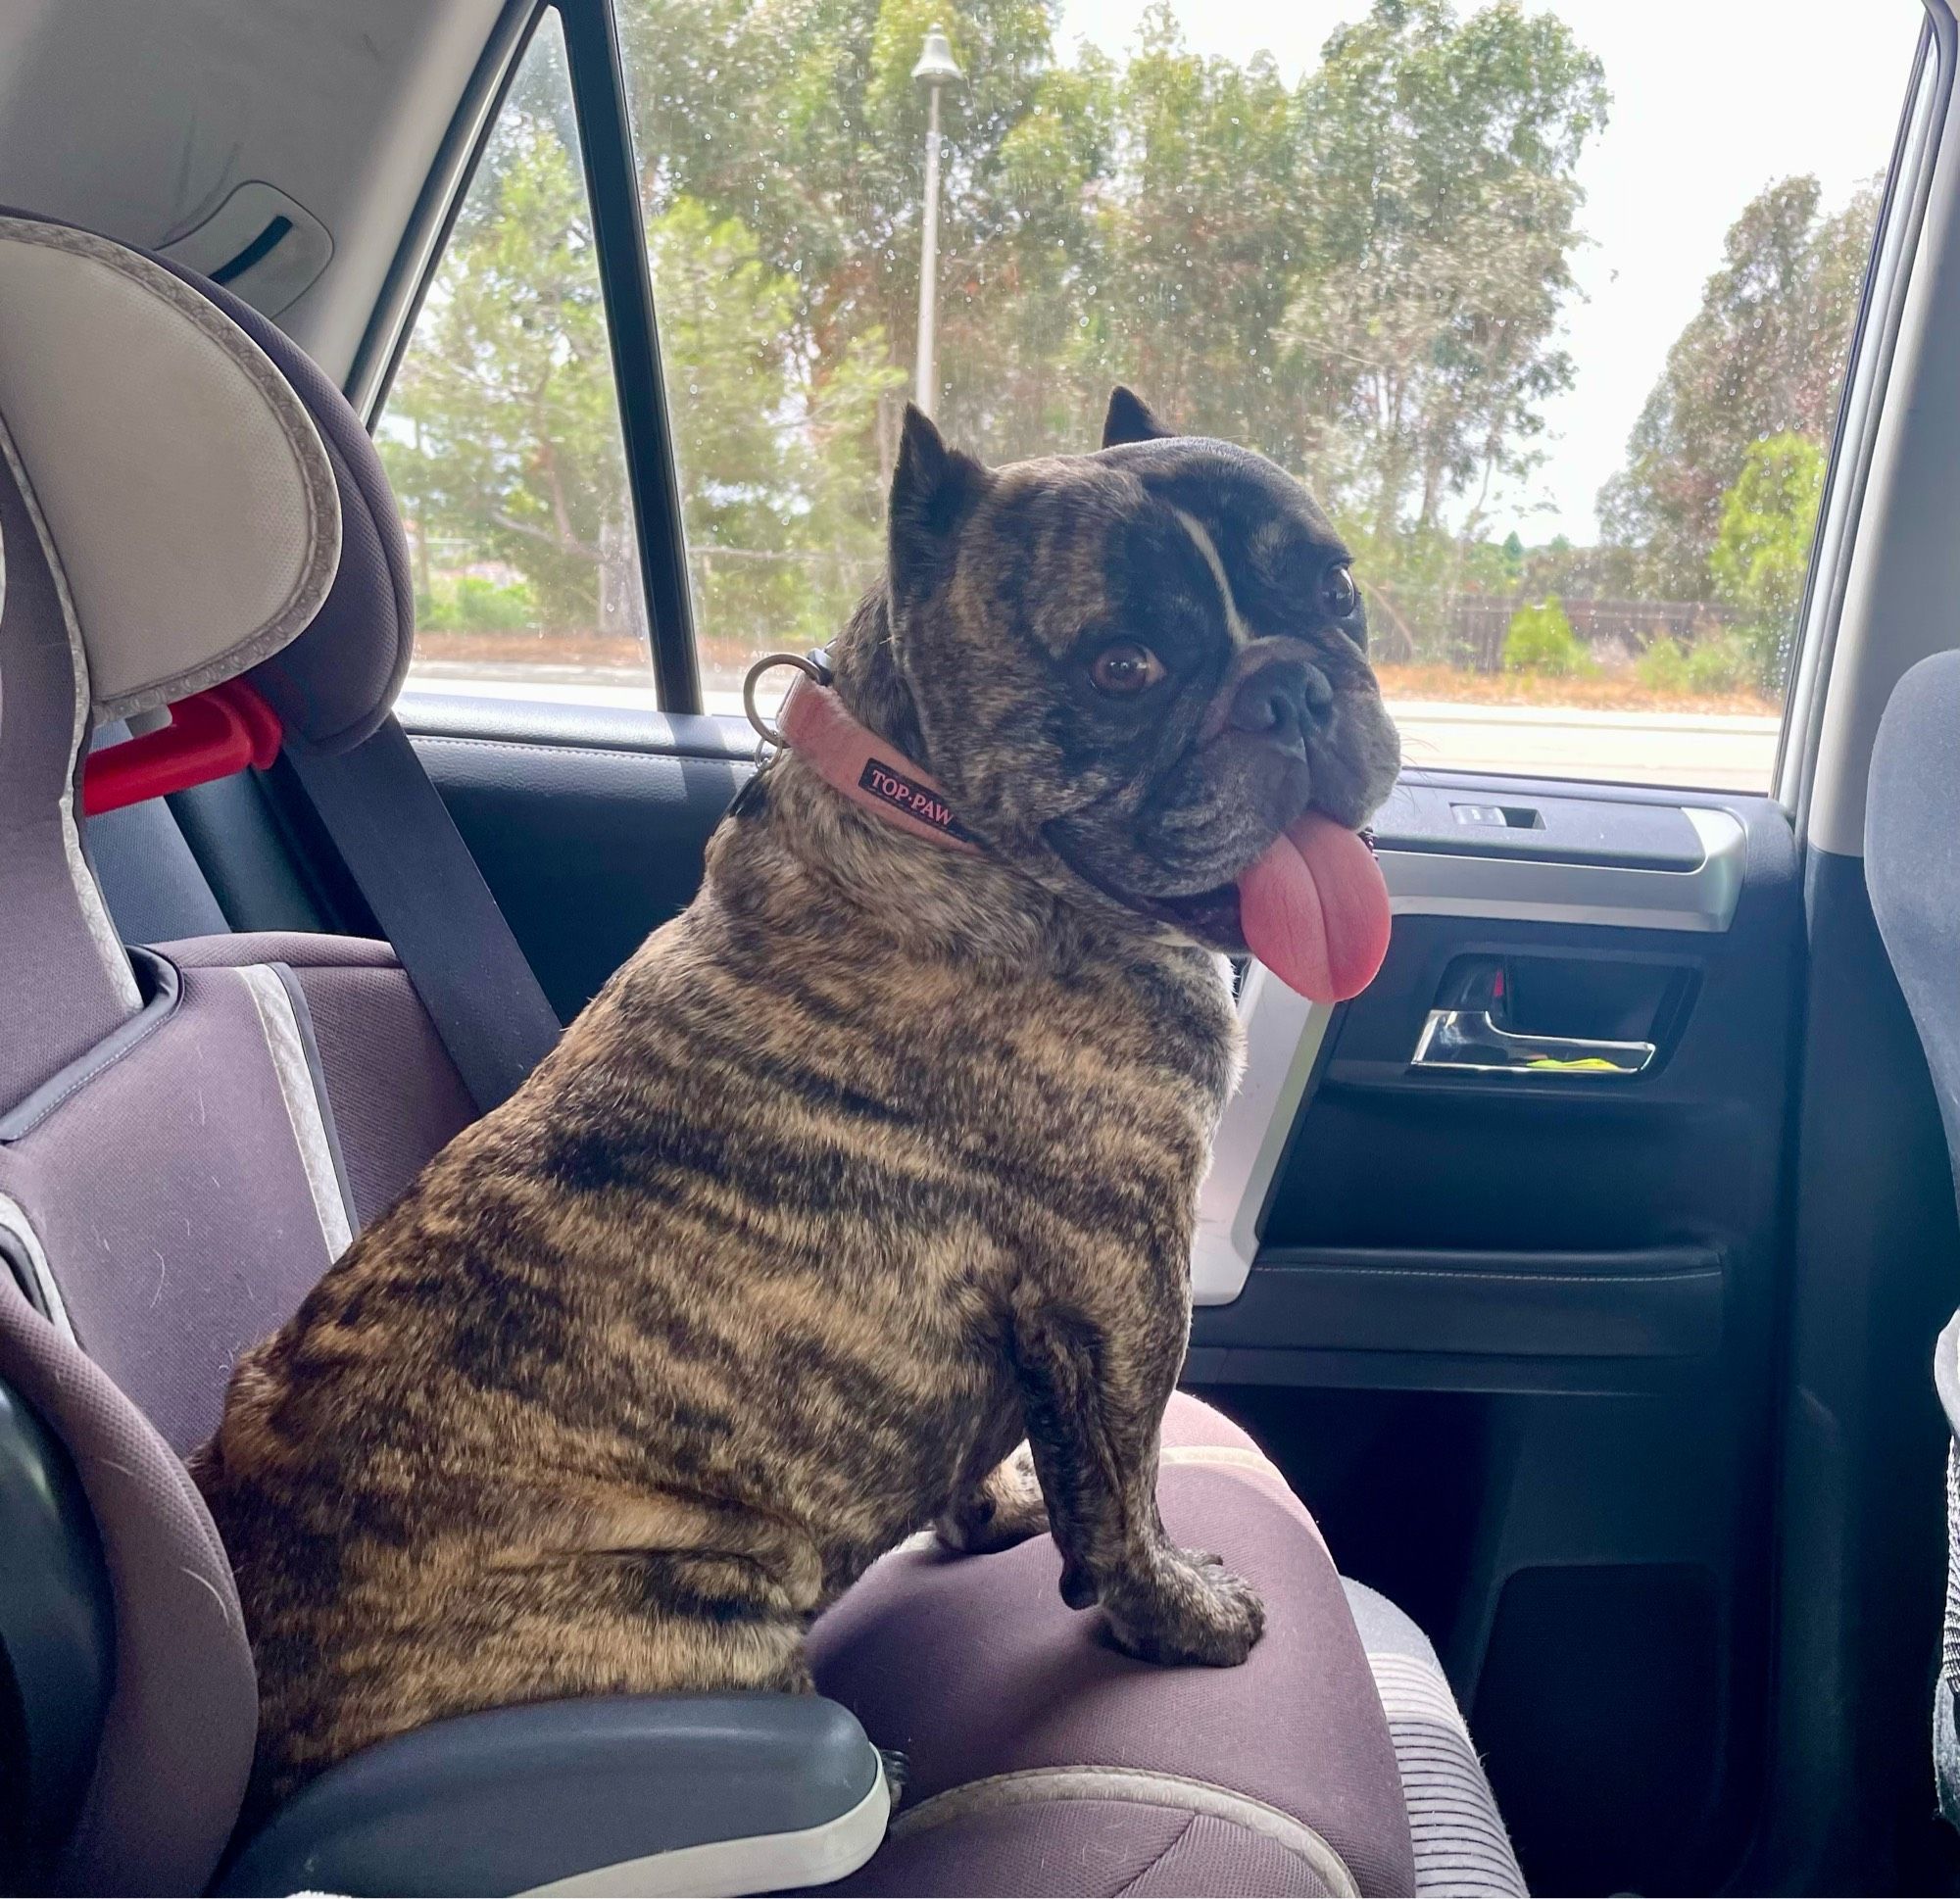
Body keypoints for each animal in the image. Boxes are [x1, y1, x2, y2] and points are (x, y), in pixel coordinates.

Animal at [195, 390, 1396, 1826]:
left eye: (1335, 588)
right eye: (1123, 668)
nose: (1295, 686)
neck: (933, 813)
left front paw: (994, 1507)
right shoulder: (1119, 1282)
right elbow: (1125, 1482)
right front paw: (1182, 1612)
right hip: (696, 1603)